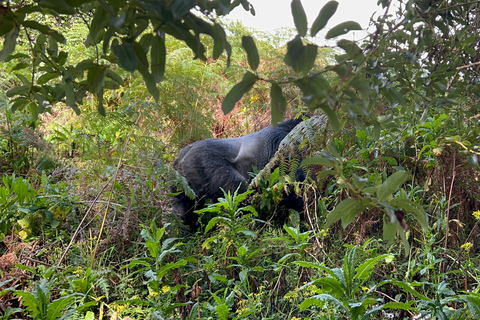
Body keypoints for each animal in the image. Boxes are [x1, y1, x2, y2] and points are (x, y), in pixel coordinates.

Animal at [171, 116, 302, 226]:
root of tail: (182, 157)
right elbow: (293, 188)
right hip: (203, 161)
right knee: (241, 194)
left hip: (179, 181)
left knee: (182, 209)